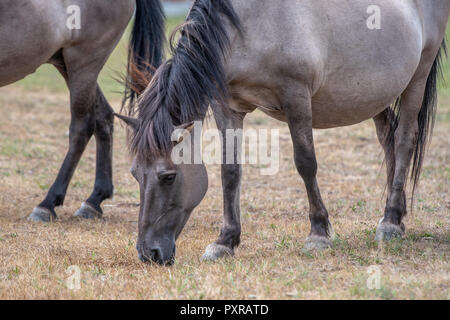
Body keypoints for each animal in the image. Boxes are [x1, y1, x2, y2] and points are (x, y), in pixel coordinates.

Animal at [0, 0, 165, 221]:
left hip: (84, 64)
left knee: (82, 127)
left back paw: (47, 204)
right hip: (67, 64)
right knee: (104, 117)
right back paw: (94, 200)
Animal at [119, 0, 450, 264]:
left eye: (168, 176)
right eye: (135, 174)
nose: (148, 253)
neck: (248, 25)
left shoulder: (296, 97)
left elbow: (306, 163)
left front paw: (318, 233)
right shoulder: (227, 106)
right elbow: (230, 172)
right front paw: (225, 241)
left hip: (417, 77)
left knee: (405, 139)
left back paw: (390, 222)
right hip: (374, 95)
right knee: (388, 138)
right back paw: (397, 216)